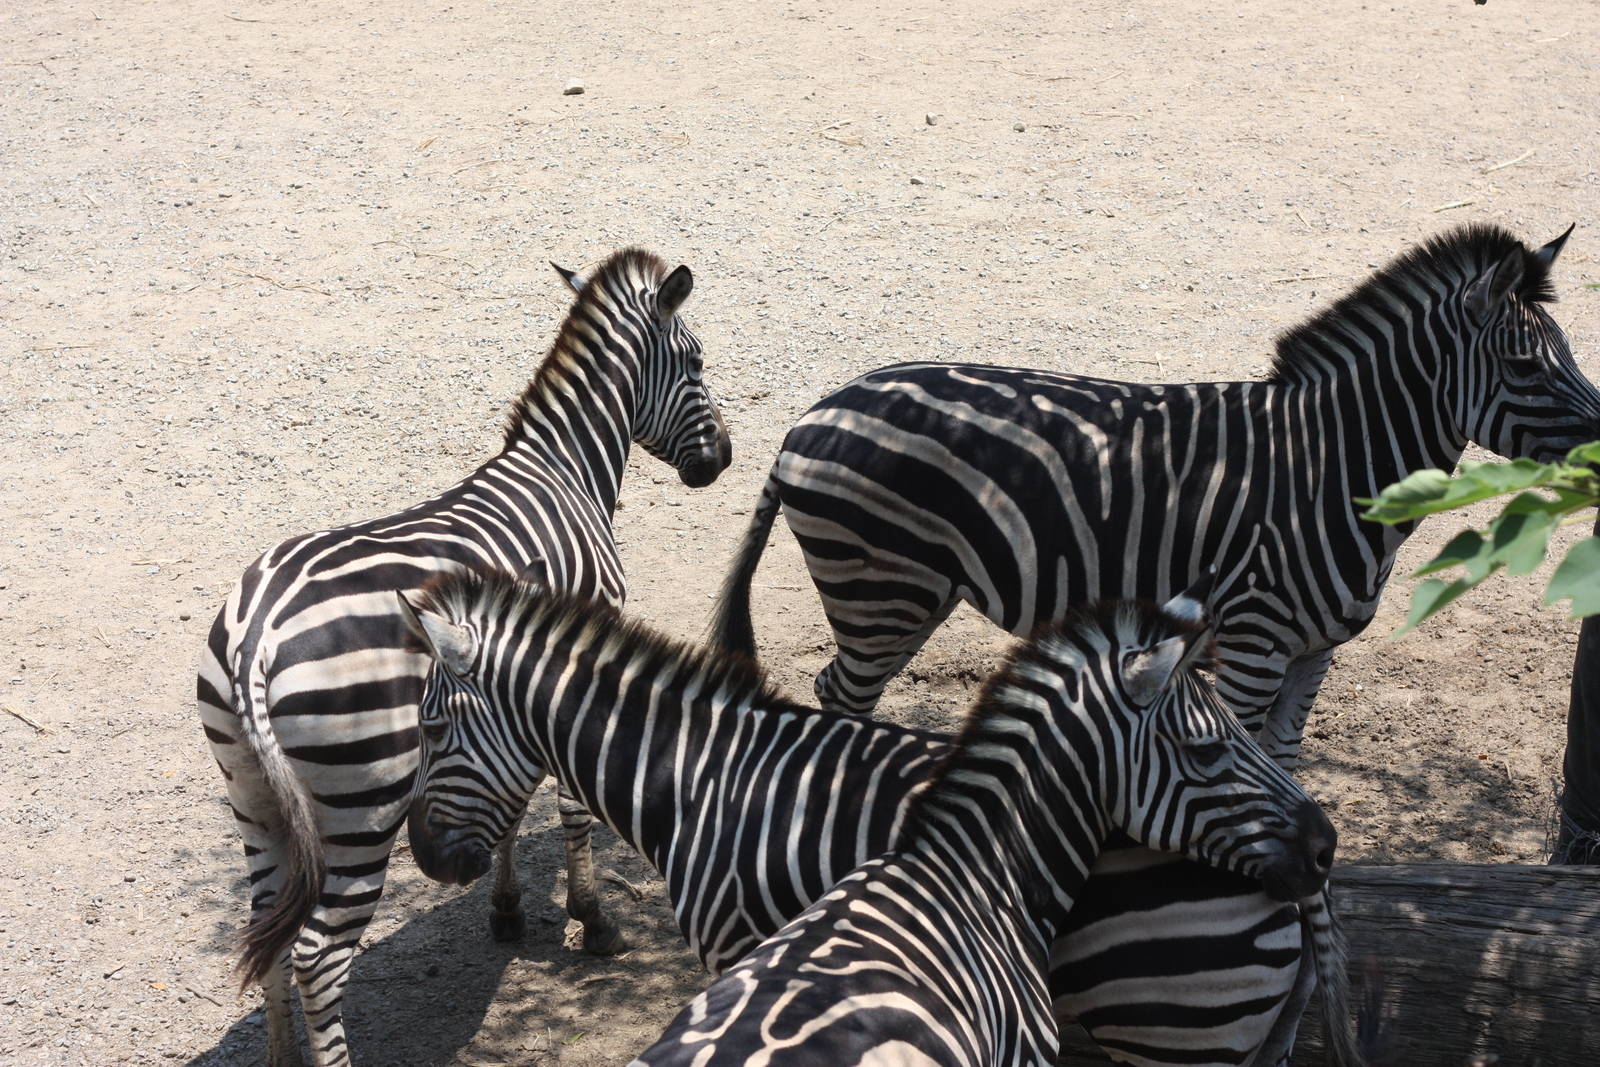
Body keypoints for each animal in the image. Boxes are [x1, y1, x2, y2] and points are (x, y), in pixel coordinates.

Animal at [195, 247, 730, 1067]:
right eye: (697, 360)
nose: (720, 461)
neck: (562, 468)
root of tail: (257, 631)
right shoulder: (577, 655)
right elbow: (570, 807)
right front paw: (593, 919)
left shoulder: (508, 684)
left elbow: (505, 803)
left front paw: (506, 908)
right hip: (362, 802)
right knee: (318, 955)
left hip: (252, 793)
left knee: (271, 932)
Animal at [396, 567, 1359, 1066]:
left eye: (431, 727)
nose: (428, 858)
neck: (701, 773)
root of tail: (1309, 885)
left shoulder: (734, 940)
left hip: (1178, 1037)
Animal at [712, 223, 1600, 768]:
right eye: (1526, 366)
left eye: (1566, 351)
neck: (1333, 466)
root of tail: (811, 414)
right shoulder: (1251, 641)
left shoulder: (1314, 652)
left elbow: (1286, 766)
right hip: (881, 592)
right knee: (839, 697)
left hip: (909, 596)